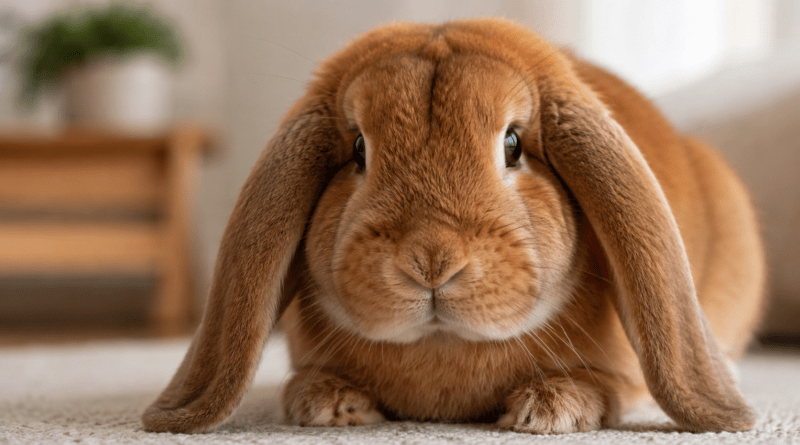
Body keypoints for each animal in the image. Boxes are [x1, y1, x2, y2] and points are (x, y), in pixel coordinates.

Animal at [141, 18, 765, 435]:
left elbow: (609, 386)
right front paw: (327, 403)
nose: (432, 261)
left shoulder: (624, 375)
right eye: (359, 149)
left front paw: (550, 410)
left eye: (513, 145)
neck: (443, 350)